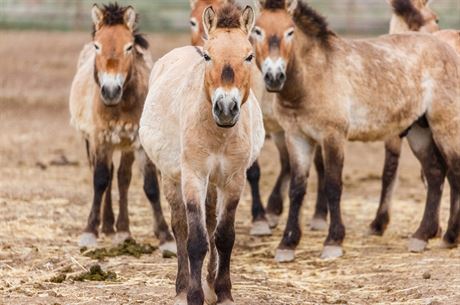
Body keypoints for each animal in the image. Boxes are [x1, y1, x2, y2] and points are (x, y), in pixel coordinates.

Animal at [68, 3, 174, 253]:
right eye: (98, 45)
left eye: (129, 47)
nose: (110, 91)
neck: (120, 105)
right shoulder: (100, 139)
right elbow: (100, 180)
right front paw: (90, 232)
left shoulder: (139, 144)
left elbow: (150, 187)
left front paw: (165, 236)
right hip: (92, 142)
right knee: (104, 176)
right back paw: (107, 225)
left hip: (126, 145)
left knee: (122, 178)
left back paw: (122, 229)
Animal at [138, 2, 264, 304]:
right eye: (208, 56)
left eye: (249, 56)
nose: (226, 108)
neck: (219, 134)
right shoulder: (193, 176)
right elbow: (195, 238)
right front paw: (193, 295)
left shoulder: (233, 179)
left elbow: (223, 235)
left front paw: (223, 292)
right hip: (171, 178)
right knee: (180, 226)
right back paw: (182, 287)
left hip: (214, 183)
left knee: (210, 223)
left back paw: (208, 285)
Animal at [258, 0, 460, 258]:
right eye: (257, 31)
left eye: (290, 31)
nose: (274, 76)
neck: (315, 73)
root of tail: (447, 48)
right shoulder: (297, 137)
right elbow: (297, 189)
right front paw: (287, 244)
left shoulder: (333, 136)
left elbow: (333, 185)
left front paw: (333, 241)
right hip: (419, 132)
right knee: (435, 174)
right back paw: (421, 236)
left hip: (445, 127)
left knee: (454, 173)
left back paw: (450, 236)